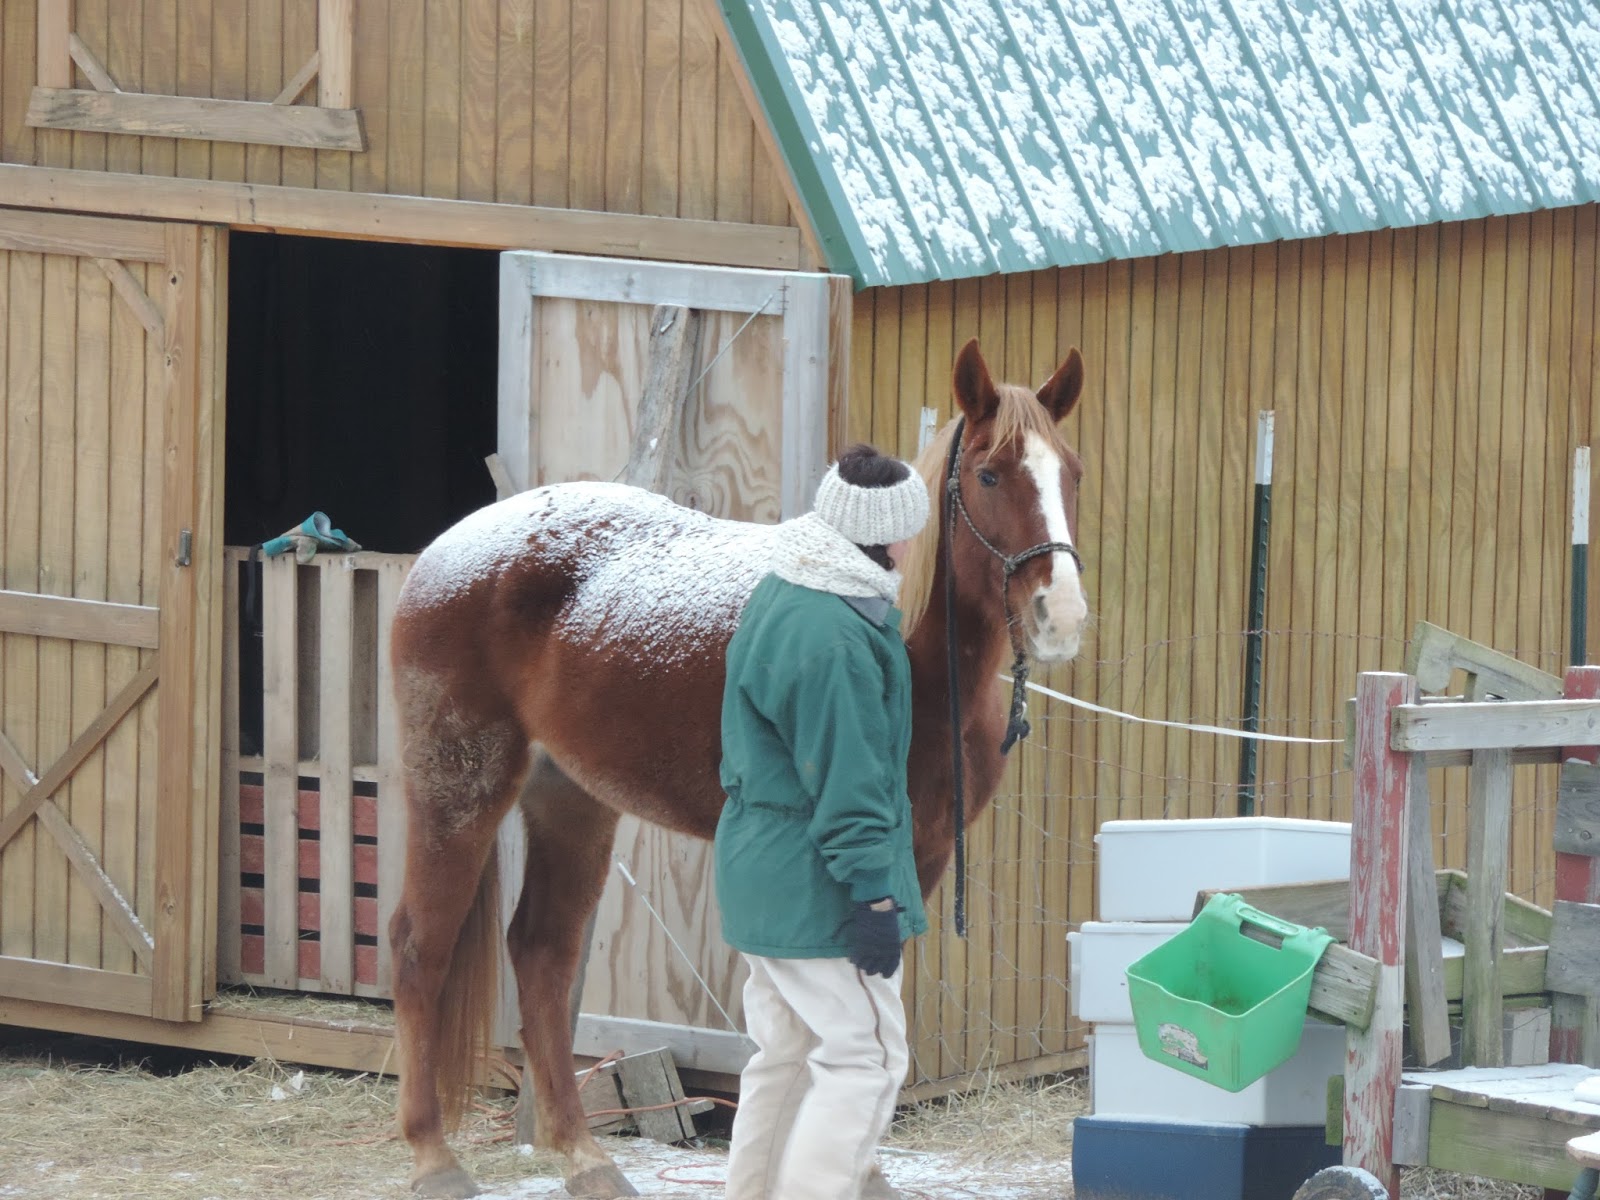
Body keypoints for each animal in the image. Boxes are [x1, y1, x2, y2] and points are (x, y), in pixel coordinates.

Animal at [386, 337, 1089, 1198]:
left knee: (542, 955)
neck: (911, 653)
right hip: (458, 785)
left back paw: (585, 1157)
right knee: (421, 946)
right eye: (990, 475)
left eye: (1070, 472)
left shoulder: (916, 856)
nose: (1061, 615)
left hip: (571, 801)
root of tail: (449, 549)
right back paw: (432, 1156)